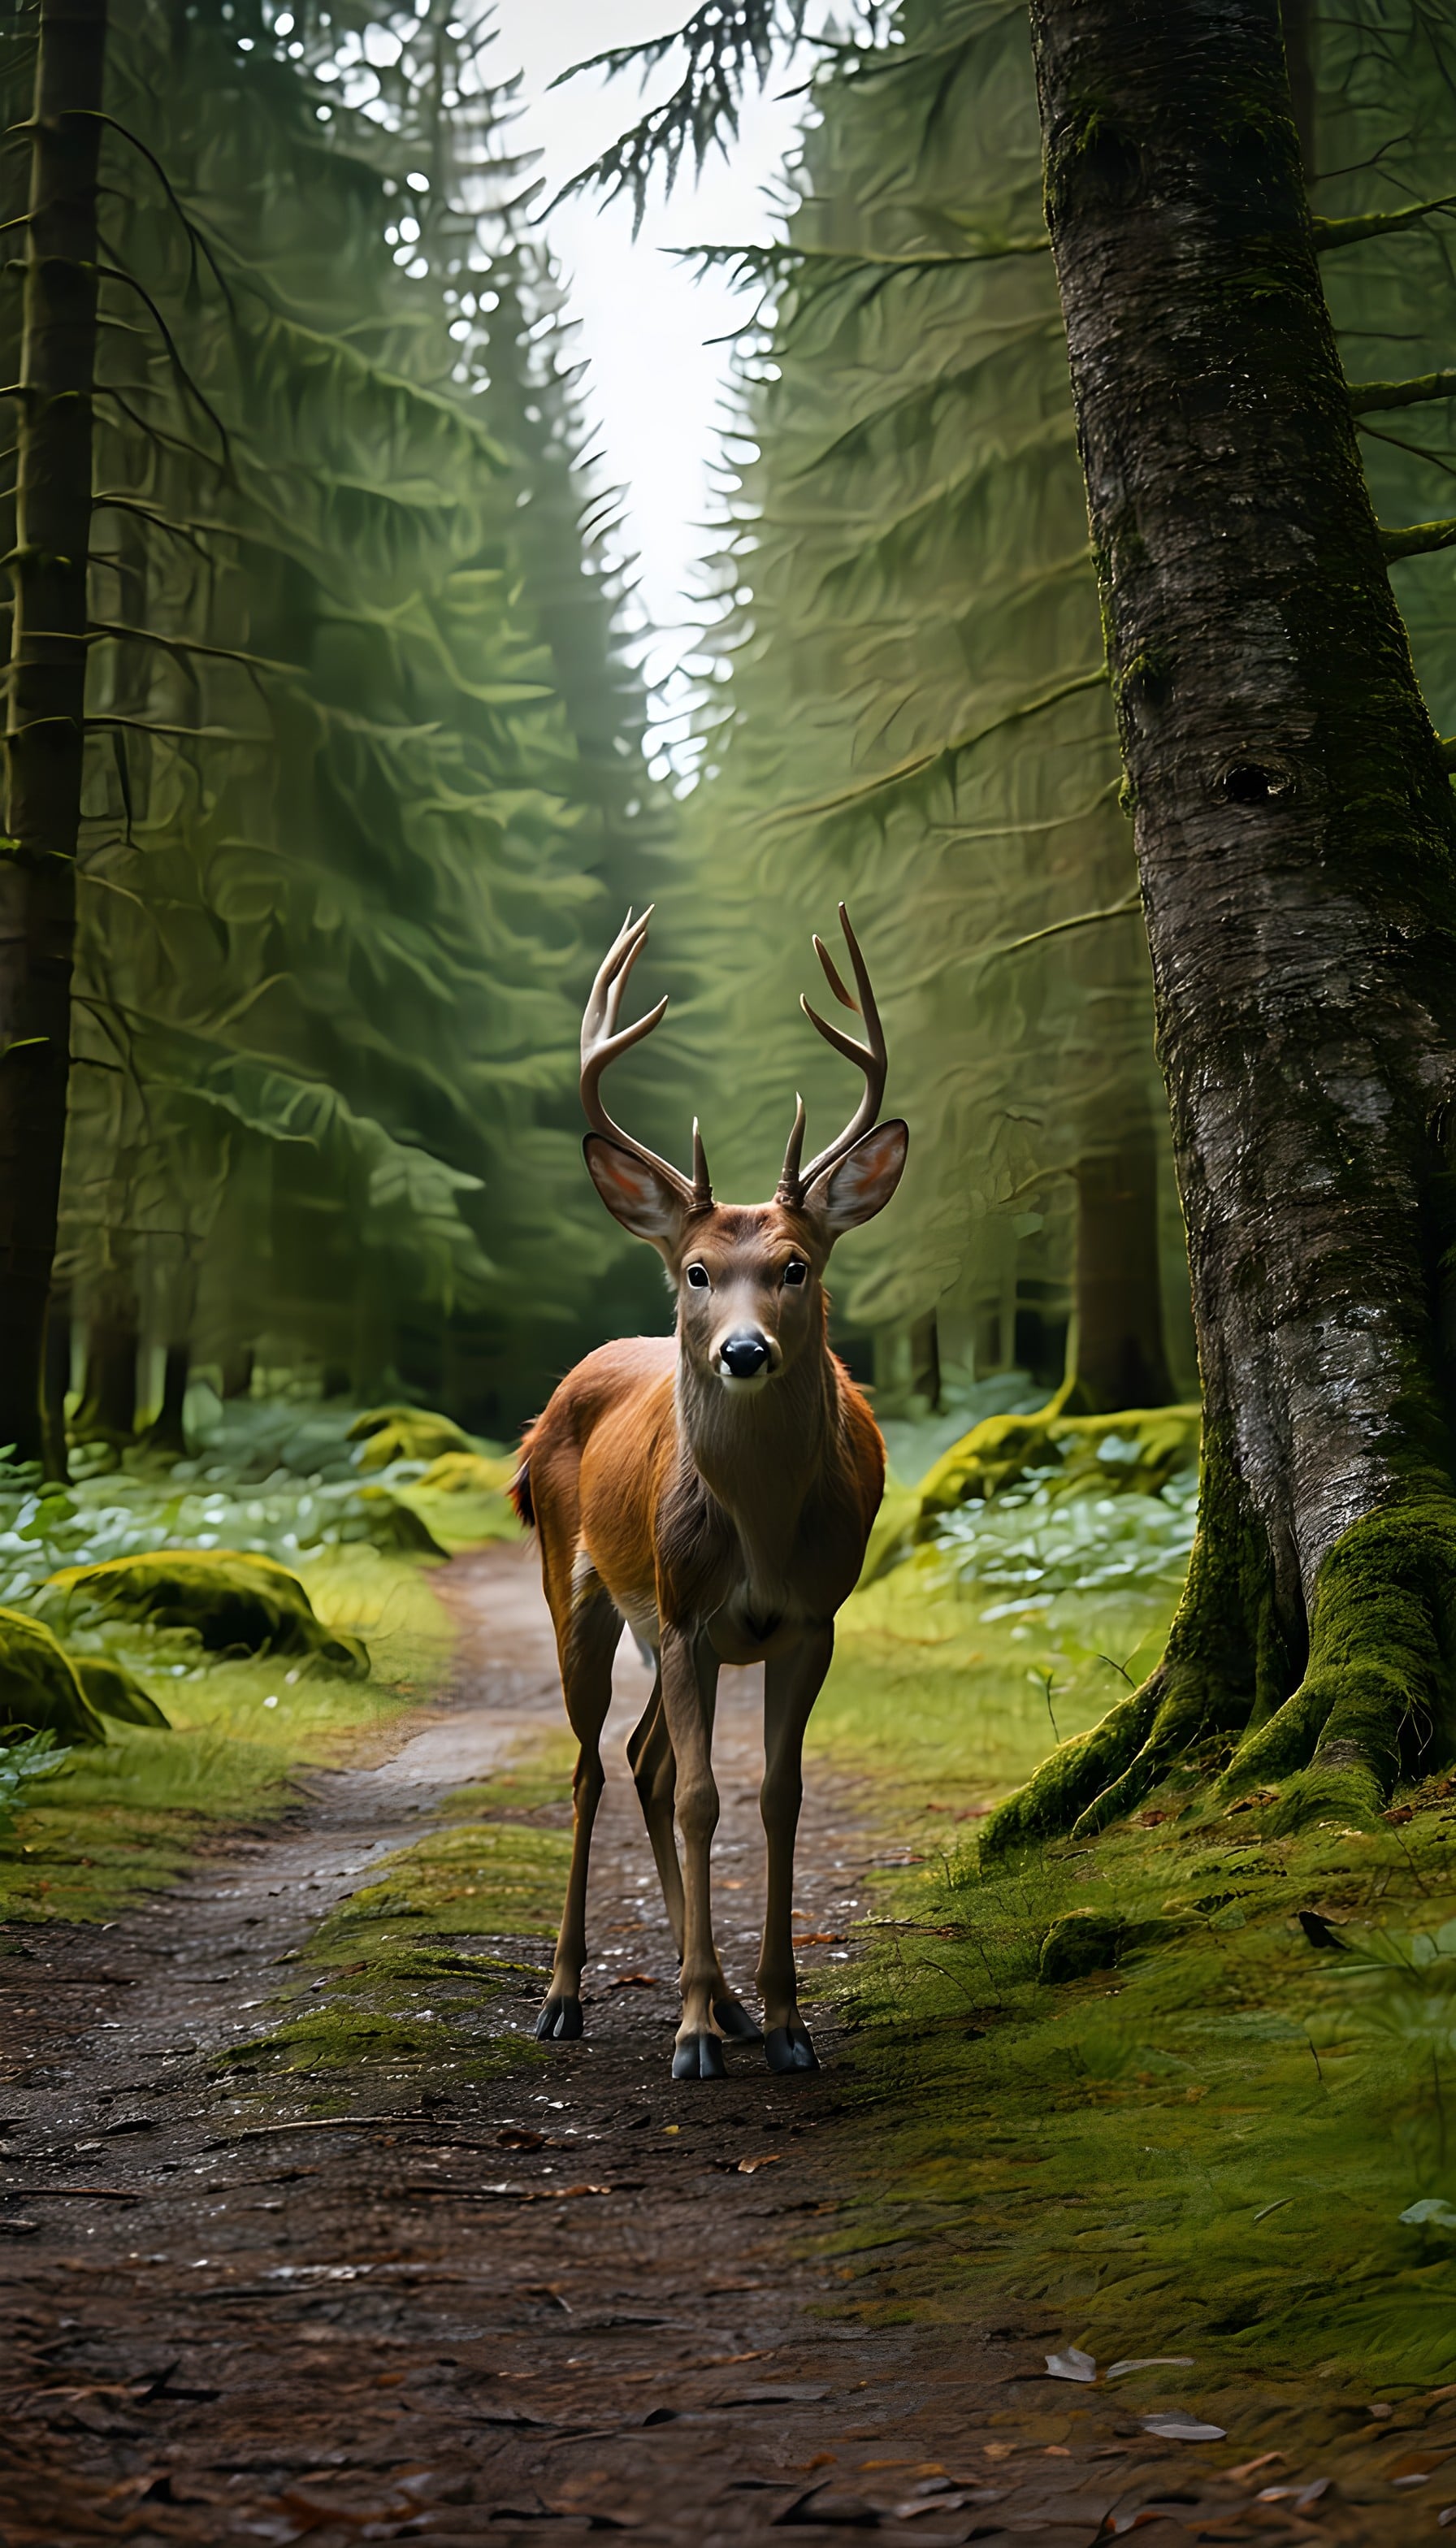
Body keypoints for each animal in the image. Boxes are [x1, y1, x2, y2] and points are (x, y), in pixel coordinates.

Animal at [511, 906, 907, 2080]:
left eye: (795, 1265)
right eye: (695, 1270)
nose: (742, 1351)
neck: (765, 1534)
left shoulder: (808, 1619)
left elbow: (777, 1797)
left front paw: (782, 2020)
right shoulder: (689, 1615)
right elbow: (699, 1798)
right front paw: (688, 2032)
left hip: (662, 1628)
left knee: (640, 1759)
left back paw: (726, 2001)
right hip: (585, 1591)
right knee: (596, 1769)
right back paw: (565, 1996)